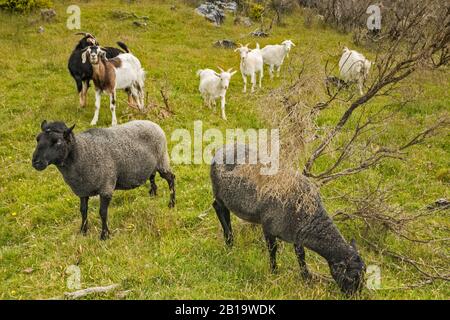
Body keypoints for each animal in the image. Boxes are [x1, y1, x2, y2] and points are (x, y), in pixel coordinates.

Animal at [31, 120, 175, 240]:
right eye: (38, 139)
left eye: (57, 141)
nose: (36, 162)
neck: (82, 153)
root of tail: (153, 123)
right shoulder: (83, 190)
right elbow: (83, 211)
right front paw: (83, 231)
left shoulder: (106, 187)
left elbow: (103, 213)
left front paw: (104, 235)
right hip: (152, 165)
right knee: (152, 177)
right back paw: (153, 195)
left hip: (162, 160)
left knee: (171, 179)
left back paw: (171, 204)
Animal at [211, 144, 366, 296]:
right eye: (351, 278)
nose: (354, 296)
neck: (308, 213)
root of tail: (221, 149)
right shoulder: (269, 228)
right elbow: (273, 250)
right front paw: (274, 272)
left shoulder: (297, 233)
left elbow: (301, 255)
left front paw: (305, 277)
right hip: (219, 194)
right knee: (219, 208)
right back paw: (229, 242)